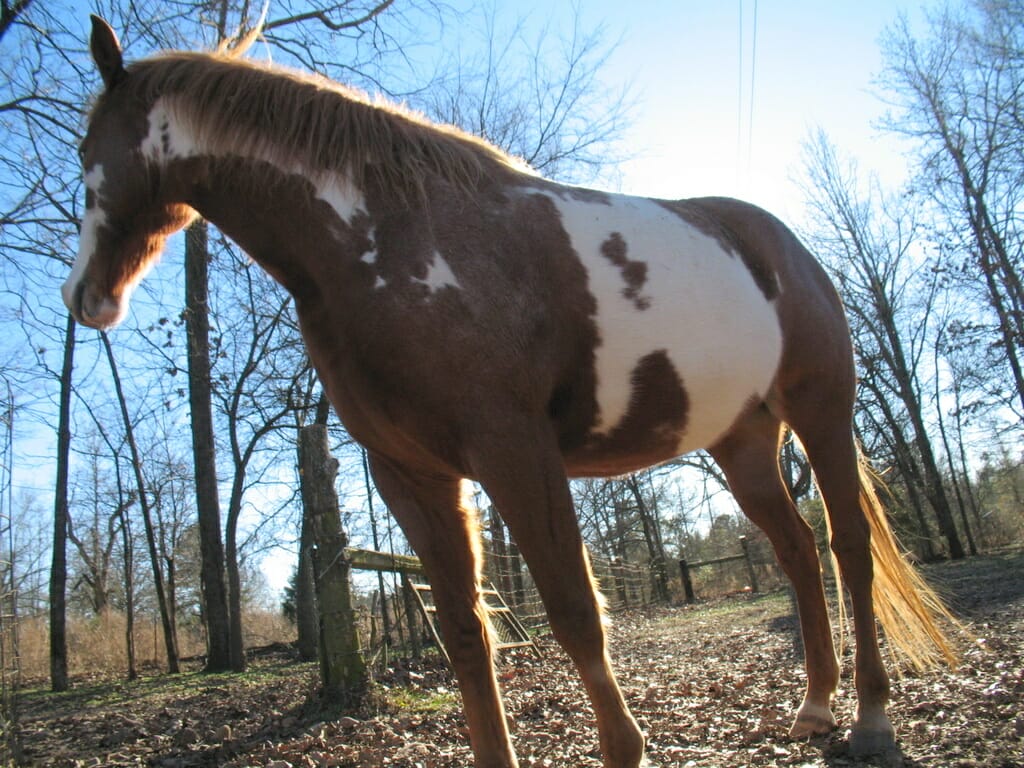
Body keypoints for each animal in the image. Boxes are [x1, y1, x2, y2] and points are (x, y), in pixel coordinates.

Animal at [68, 18, 954, 768]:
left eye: (84, 161)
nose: (86, 298)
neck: (389, 240)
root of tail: (785, 245)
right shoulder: (411, 475)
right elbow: (466, 633)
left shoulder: (515, 452)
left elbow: (574, 612)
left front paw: (625, 748)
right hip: (742, 444)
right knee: (799, 552)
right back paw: (814, 707)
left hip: (822, 412)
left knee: (848, 547)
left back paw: (872, 719)